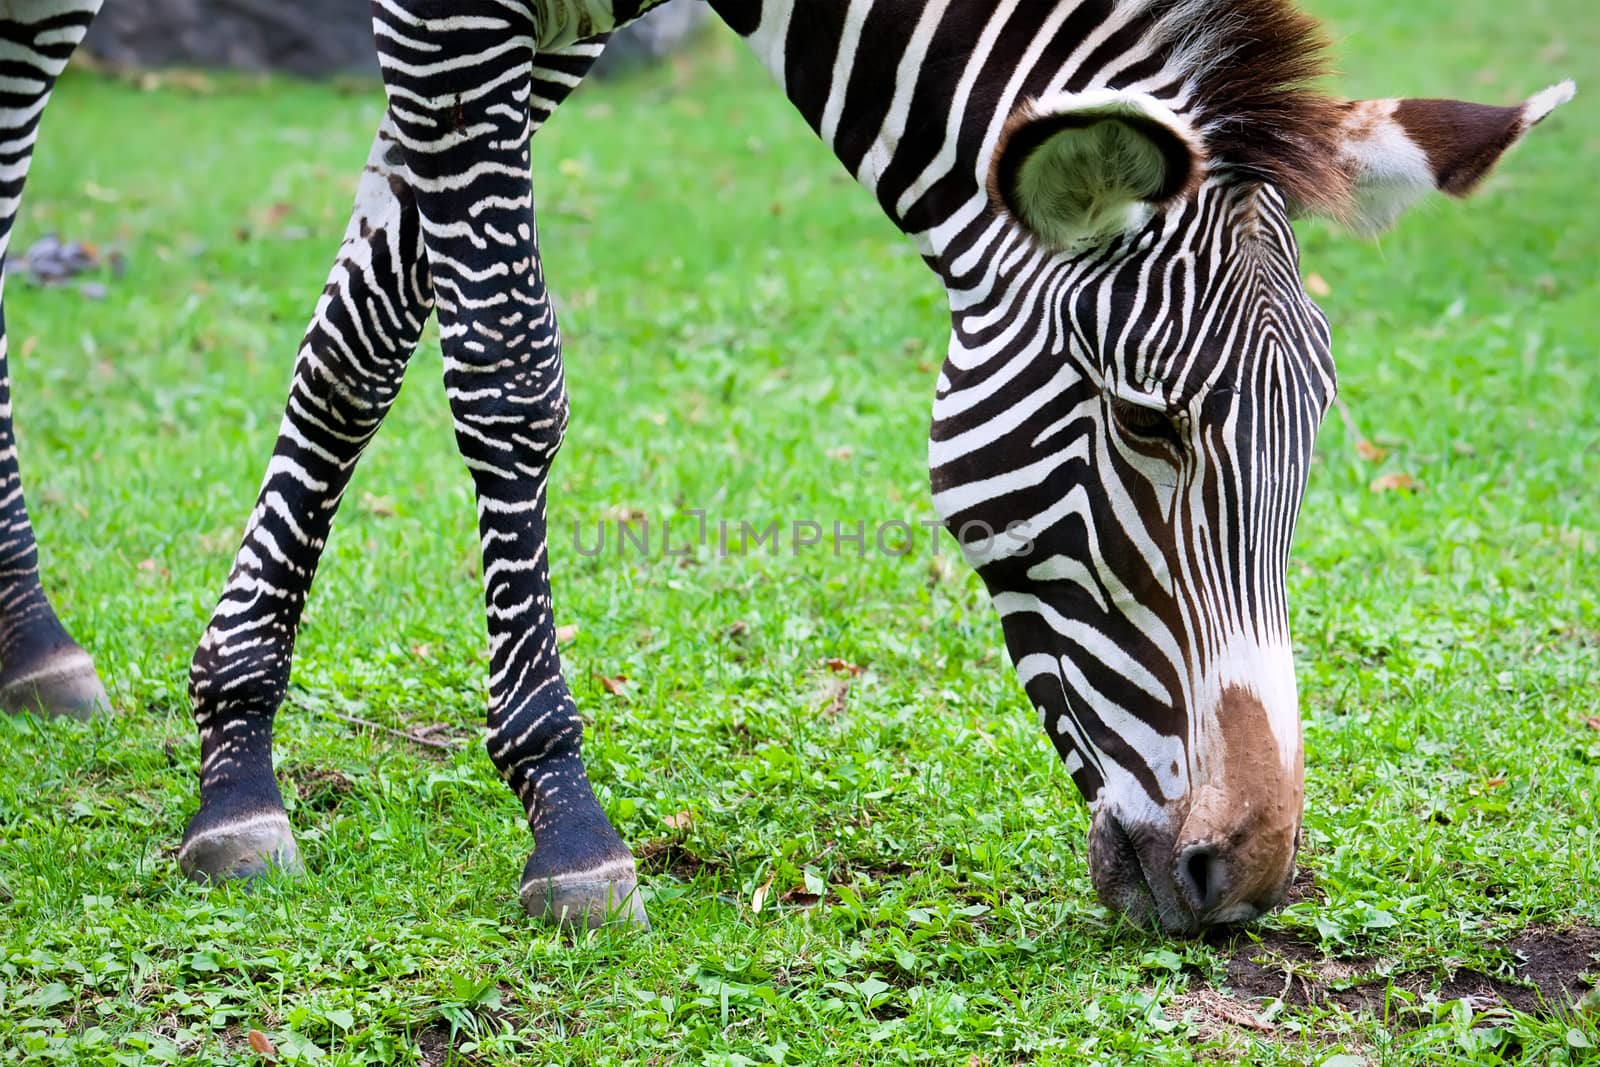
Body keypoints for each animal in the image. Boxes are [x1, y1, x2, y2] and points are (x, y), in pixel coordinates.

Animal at [0, 0, 1568, 934]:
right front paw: (559, 813)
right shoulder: (454, 19)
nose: (1243, 876)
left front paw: (234, 750)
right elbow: (504, 365)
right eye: (1148, 426)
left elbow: (363, 334)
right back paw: (30, 629)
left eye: (1314, 443)